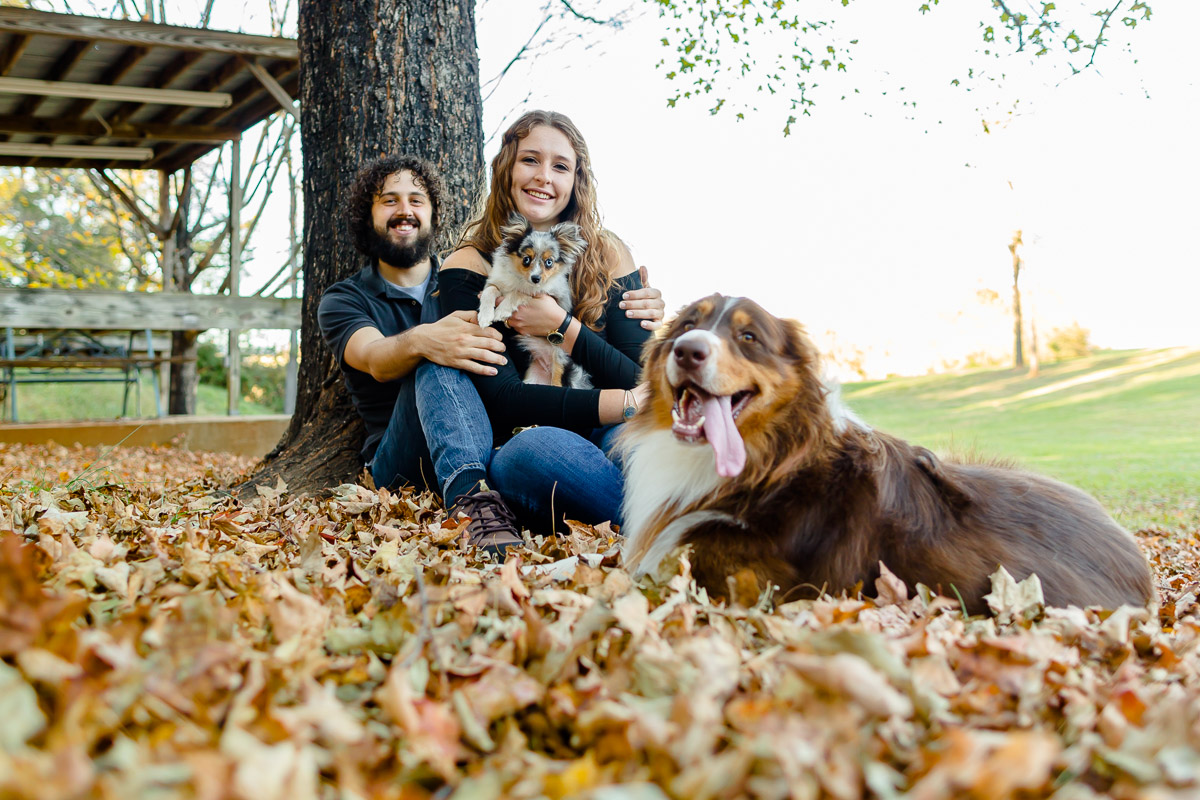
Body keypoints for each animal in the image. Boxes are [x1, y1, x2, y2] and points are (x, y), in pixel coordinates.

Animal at [477, 212, 590, 388]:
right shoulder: (497, 283)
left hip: (560, 365)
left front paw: (502, 310)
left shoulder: (551, 296)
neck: (522, 279)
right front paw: (485, 315)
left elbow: (521, 293)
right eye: (526, 259)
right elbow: (489, 291)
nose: (535, 278)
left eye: (549, 262)